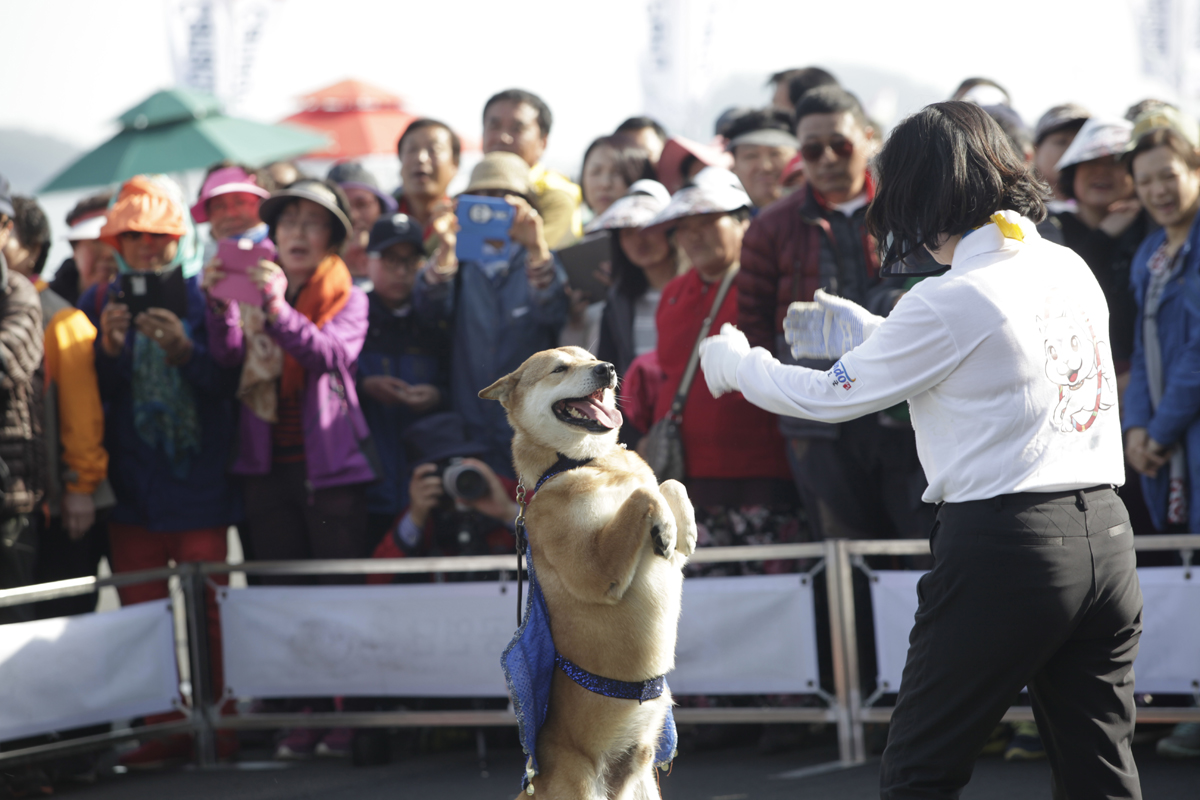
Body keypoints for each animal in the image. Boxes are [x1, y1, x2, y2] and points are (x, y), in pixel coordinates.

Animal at [482, 347, 700, 800]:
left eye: (592, 357)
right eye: (560, 368)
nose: (608, 369)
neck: (587, 462)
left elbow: (668, 482)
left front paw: (682, 526)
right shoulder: (594, 571)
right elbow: (643, 492)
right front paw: (665, 519)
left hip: (646, 786)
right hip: (582, 786)